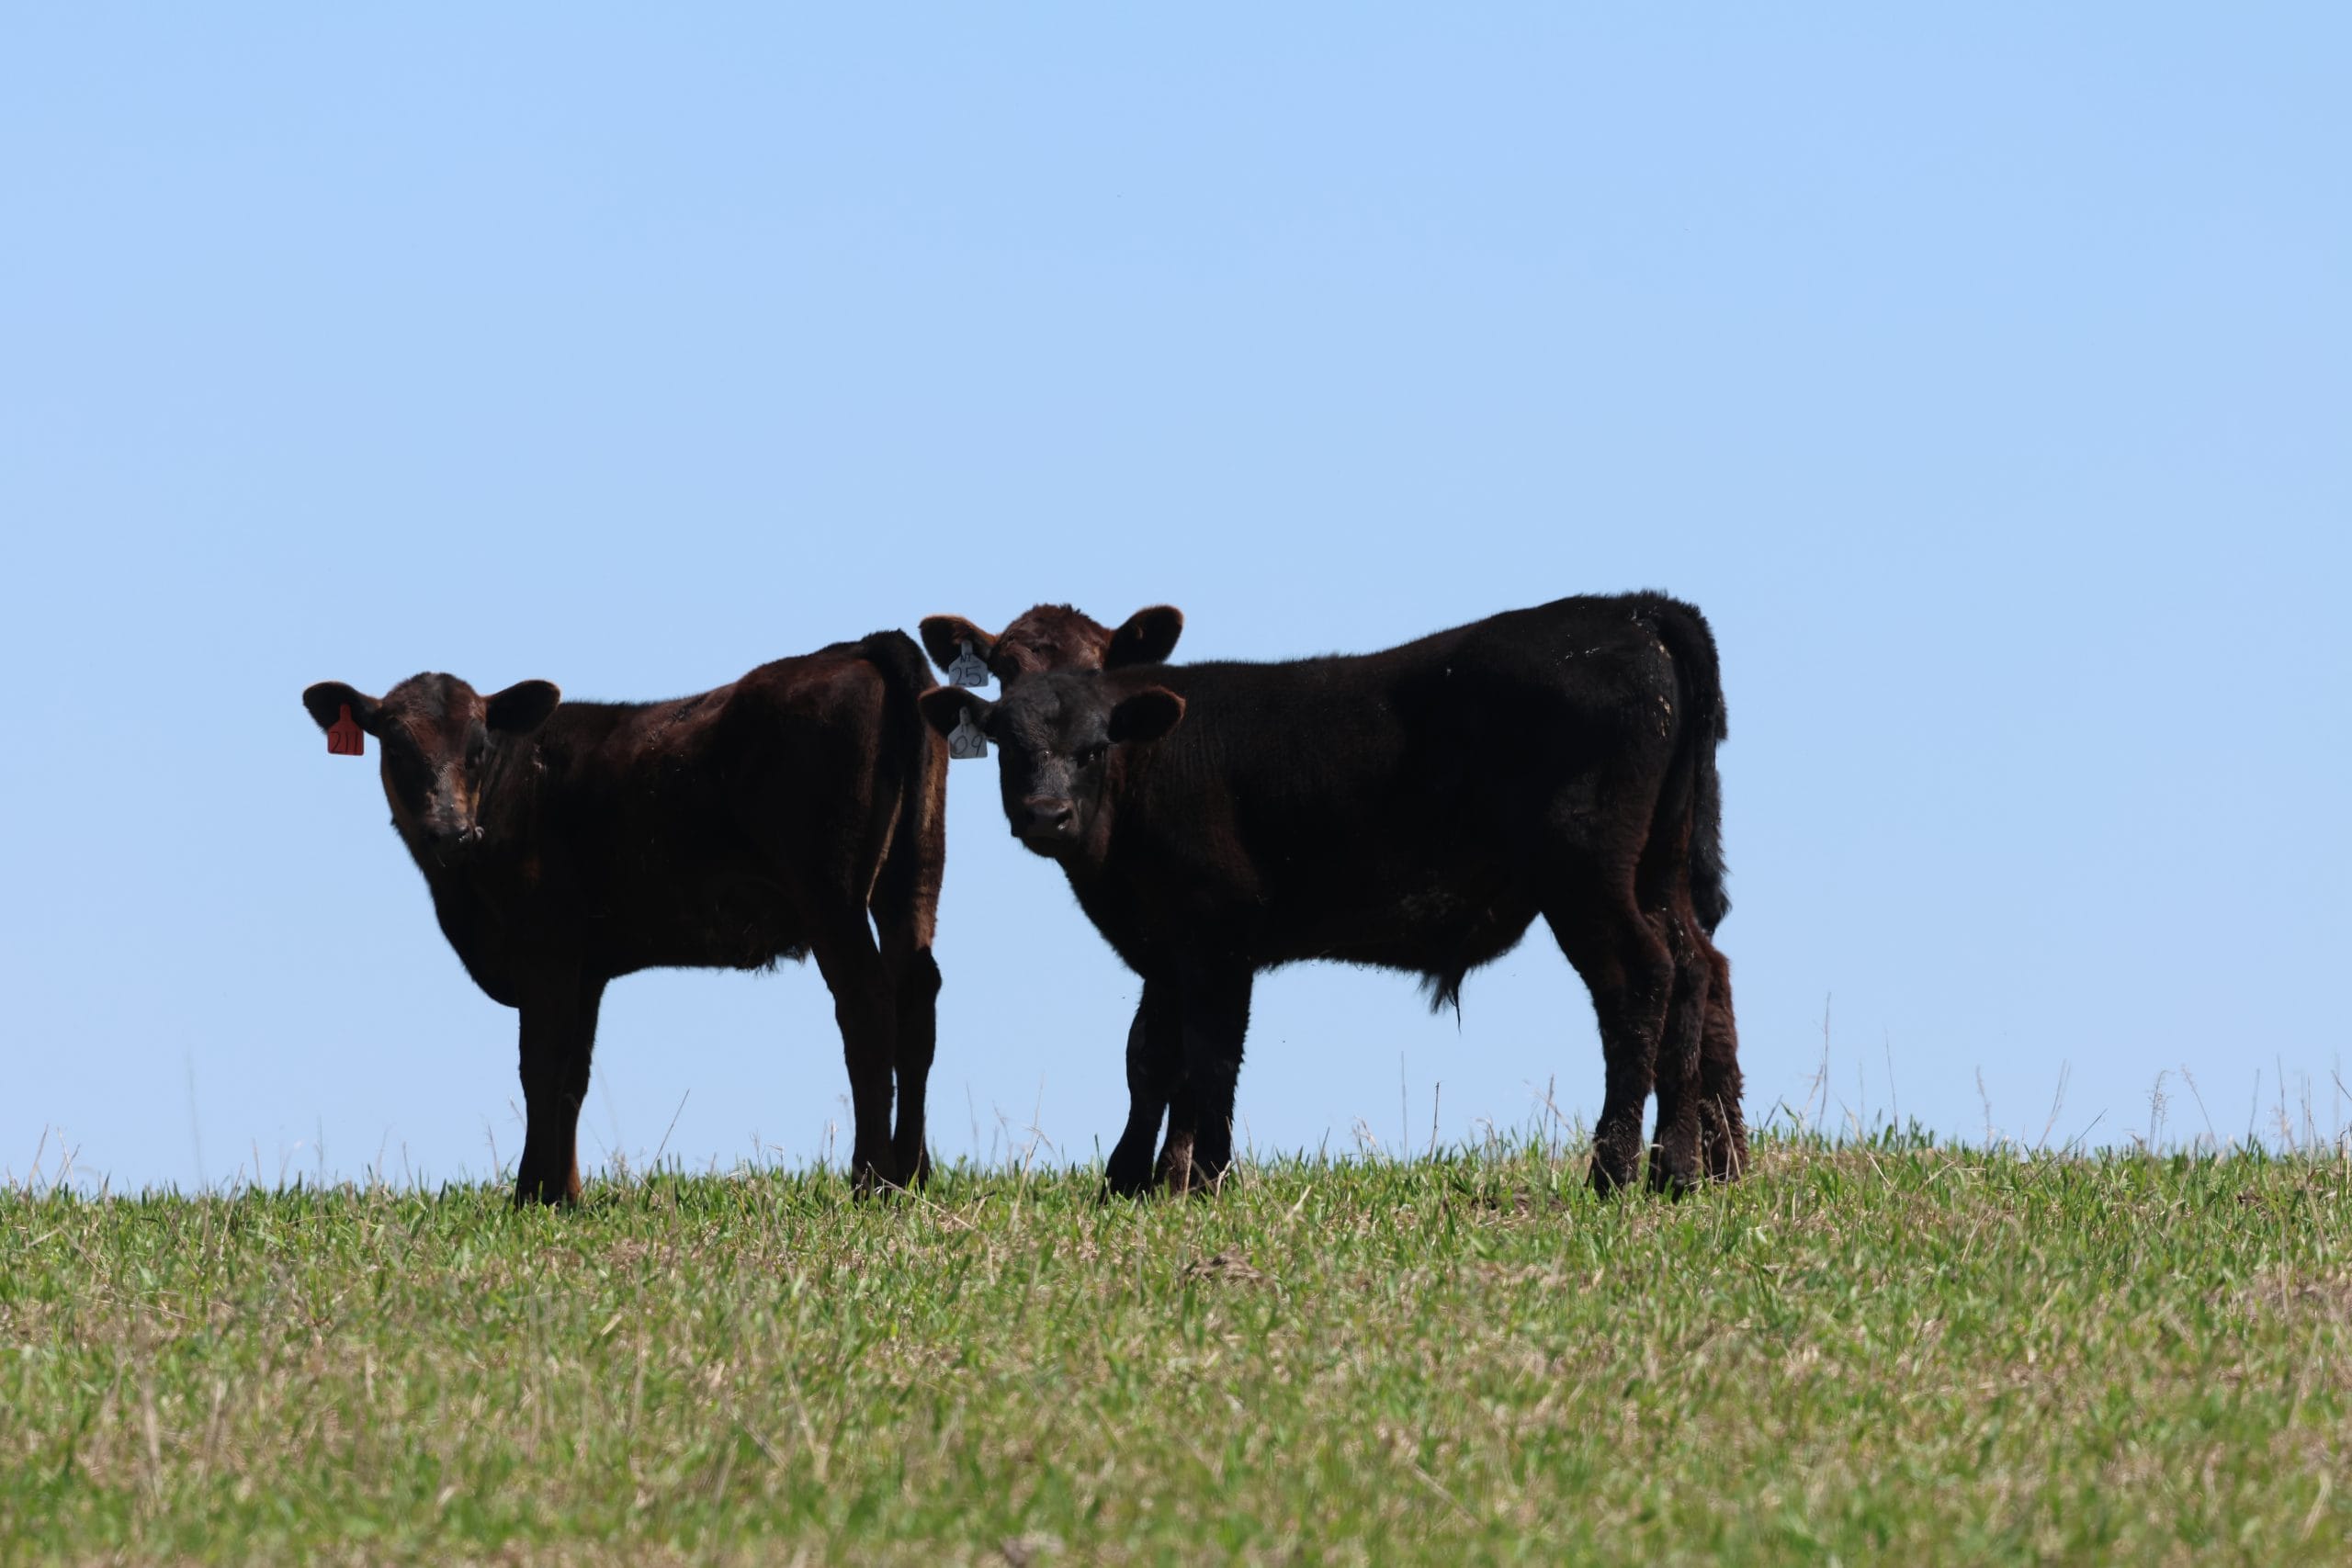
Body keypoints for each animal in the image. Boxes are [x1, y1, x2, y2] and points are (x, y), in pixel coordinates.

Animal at [303, 631, 945, 1206]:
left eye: (478, 748)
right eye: (395, 747)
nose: (451, 829)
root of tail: (859, 646)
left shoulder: (546, 945)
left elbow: (541, 1065)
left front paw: (531, 1194)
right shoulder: (586, 966)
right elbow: (574, 1077)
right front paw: (565, 1193)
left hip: (830, 892)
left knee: (867, 1004)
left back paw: (871, 1182)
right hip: (914, 875)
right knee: (917, 995)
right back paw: (914, 1175)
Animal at [917, 593, 1743, 1198]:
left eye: (1095, 742)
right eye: (1005, 706)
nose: (1045, 813)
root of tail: (1634, 609)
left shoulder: (1217, 931)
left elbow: (1210, 1054)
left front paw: (1202, 1180)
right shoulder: (1166, 940)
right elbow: (1150, 1052)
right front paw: (1131, 1181)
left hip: (1587, 871)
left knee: (1640, 978)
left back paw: (1615, 1169)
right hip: (1659, 867)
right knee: (1699, 970)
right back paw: (1687, 1168)